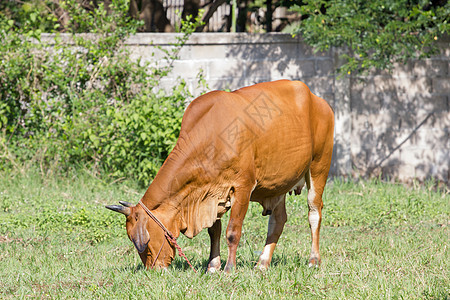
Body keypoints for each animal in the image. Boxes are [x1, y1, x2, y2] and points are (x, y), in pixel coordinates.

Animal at [106, 79, 334, 272]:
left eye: (143, 241)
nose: (154, 269)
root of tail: (319, 101)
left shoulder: (243, 186)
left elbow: (233, 231)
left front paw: (229, 268)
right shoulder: (210, 193)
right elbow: (213, 232)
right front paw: (213, 266)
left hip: (319, 166)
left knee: (314, 213)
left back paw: (313, 260)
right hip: (279, 184)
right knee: (277, 221)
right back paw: (262, 264)